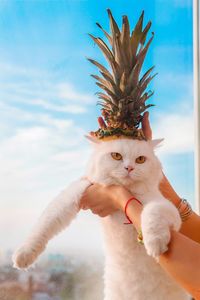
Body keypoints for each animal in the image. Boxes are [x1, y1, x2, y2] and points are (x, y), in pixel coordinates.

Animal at [12, 138, 189, 300]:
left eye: (140, 159)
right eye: (116, 156)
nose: (129, 168)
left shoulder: (163, 206)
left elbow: (152, 213)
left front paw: (154, 244)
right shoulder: (77, 191)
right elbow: (45, 223)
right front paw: (23, 256)